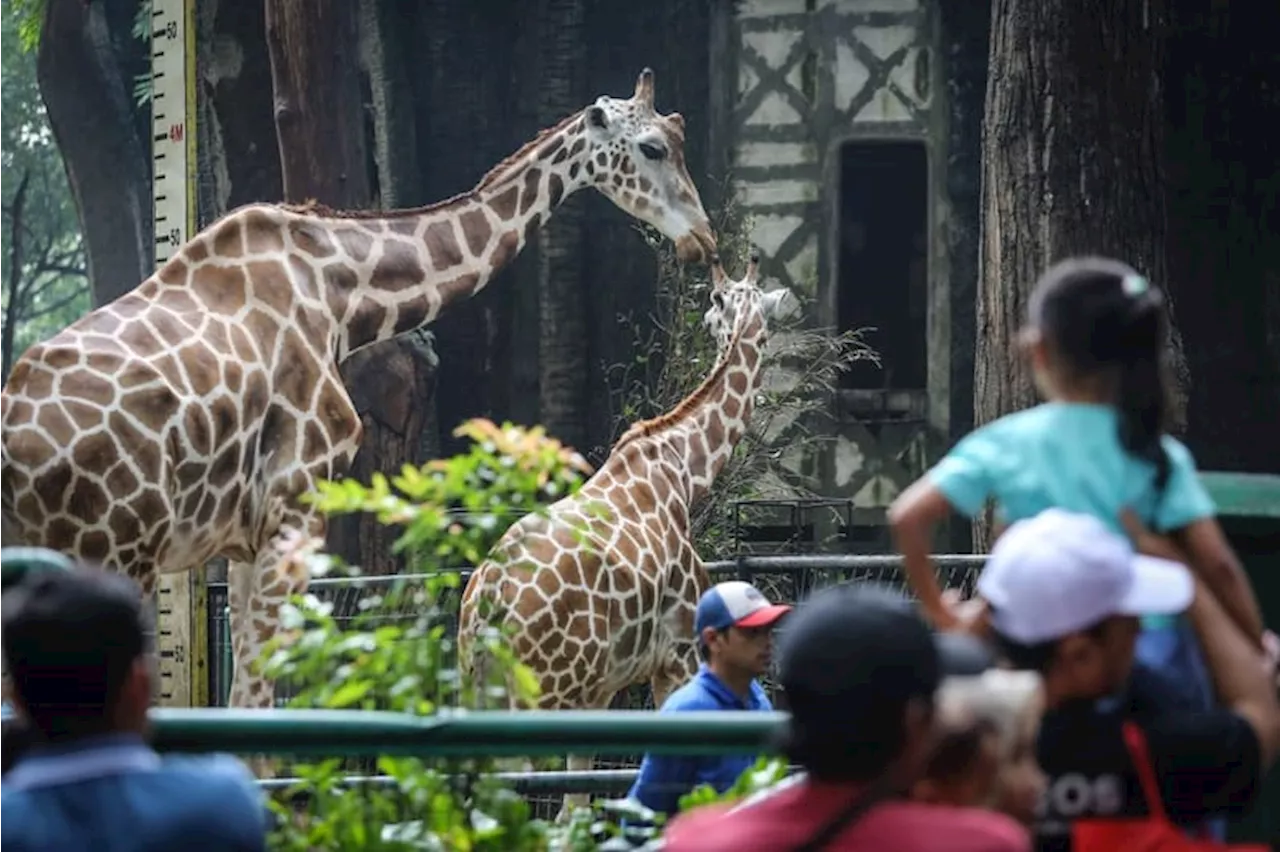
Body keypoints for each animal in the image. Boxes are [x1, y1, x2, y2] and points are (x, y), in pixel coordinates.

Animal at [0, 68, 716, 711]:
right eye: (653, 147)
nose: (703, 239)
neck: (343, 293)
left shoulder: (244, 535)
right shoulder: (296, 503)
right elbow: (257, 698)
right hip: (109, 549)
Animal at [460, 249, 793, 813]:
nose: (706, 324)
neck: (683, 471)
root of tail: (489, 601)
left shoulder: (599, 691)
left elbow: (576, 803)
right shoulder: (677, 657)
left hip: (478, 686)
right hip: (538, 692)